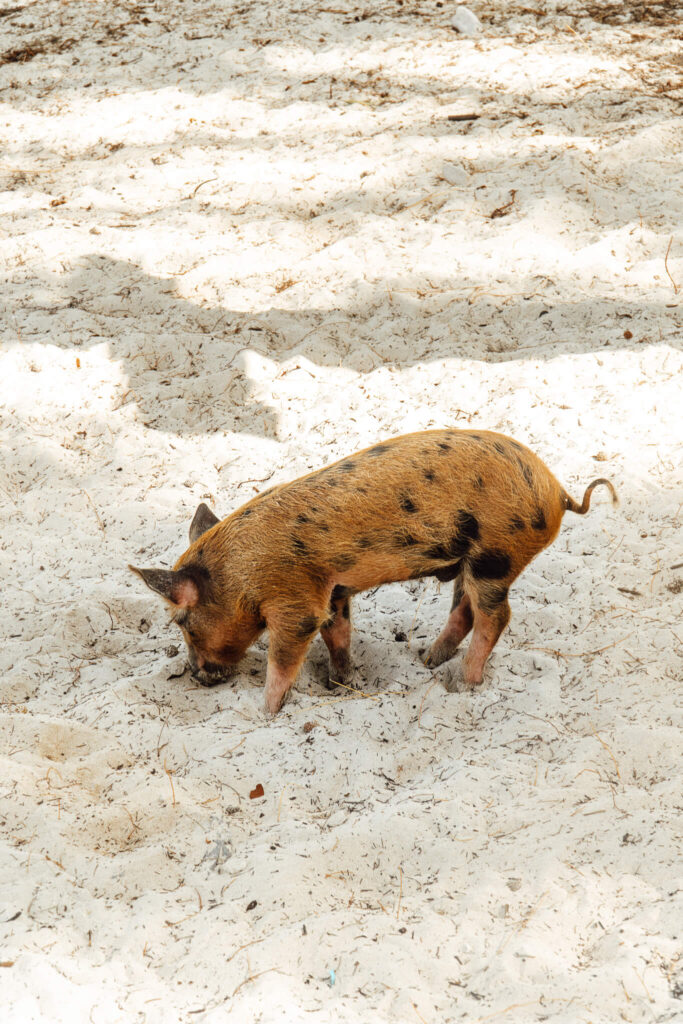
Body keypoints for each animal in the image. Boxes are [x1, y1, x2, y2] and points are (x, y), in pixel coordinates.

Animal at [129, 428, 618, 716]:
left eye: (184, 623)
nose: (195, 675)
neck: (239, 576)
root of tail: (558, 492)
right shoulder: (334, 590)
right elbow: (338, 633)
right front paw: (341, 683)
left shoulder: (295, 601)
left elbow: (284, 658)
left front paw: (265, 712)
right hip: (470, 561)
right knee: (465, 612)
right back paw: (427, 661)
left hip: (495, 557)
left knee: (495, 617)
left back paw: (463, 684)